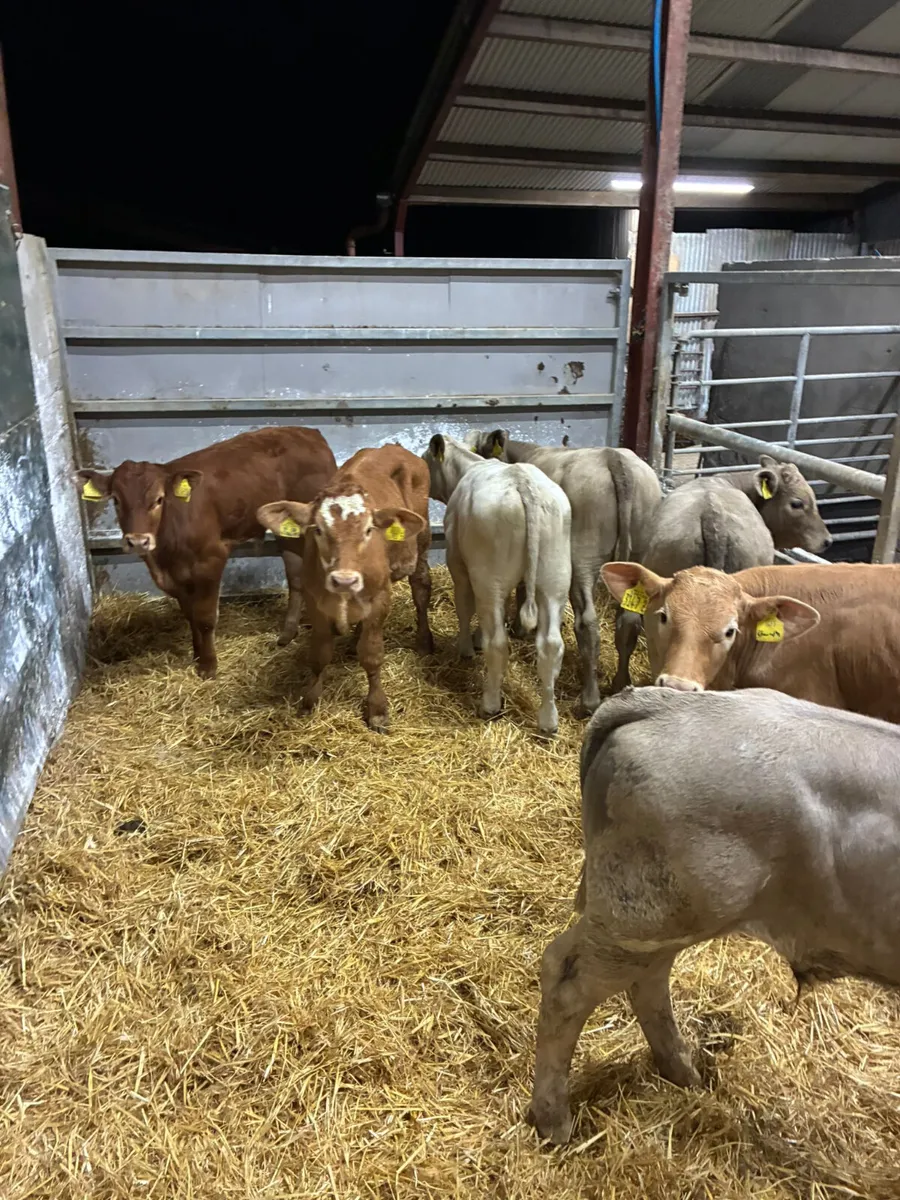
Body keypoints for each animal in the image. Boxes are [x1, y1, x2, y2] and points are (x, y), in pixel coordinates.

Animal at [75, 426, 337, 678]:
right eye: (116, 500)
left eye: (159, 500)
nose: (138, 541)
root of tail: (310, 433)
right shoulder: (176, 576)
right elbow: (190, 615)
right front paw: (197, 656)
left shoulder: (212, 559)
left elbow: (205, 618)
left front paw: (209, 666)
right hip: (286, 530)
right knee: (295, 575)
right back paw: (287, 634)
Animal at [256, 443, 433, 732]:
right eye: (317, 529)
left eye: (369, 529)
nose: (344, 580)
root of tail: (391, 446)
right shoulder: (315, 602)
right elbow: (319, 655)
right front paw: (310, 700)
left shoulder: (380, 599)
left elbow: (371, 655)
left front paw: (377, 710)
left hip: (423, 542)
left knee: (421, 588)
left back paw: (425, 640)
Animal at [423, 434, 571, 736]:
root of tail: (523, 483)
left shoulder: (459, 565)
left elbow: (464, 607)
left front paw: (467, 648)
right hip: (555, 580)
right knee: (551, 645)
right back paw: (548, 720)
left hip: (489, 577)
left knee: (499, 643)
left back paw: (490, 703)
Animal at [470, 430, 661, 715]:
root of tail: (614, 459)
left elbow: (524, 586)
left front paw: (520, 628)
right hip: (639, 552)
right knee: (629, 620)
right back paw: (619, 683)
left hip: (583, 556)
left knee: (588, 623)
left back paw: (590, 699)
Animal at [528, 686, 900, 1145]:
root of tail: (663, 703)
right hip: (639, 918)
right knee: (568, 982)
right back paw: (553, 1119)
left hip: (662, 917)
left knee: (646, 982)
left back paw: (683, 1070)